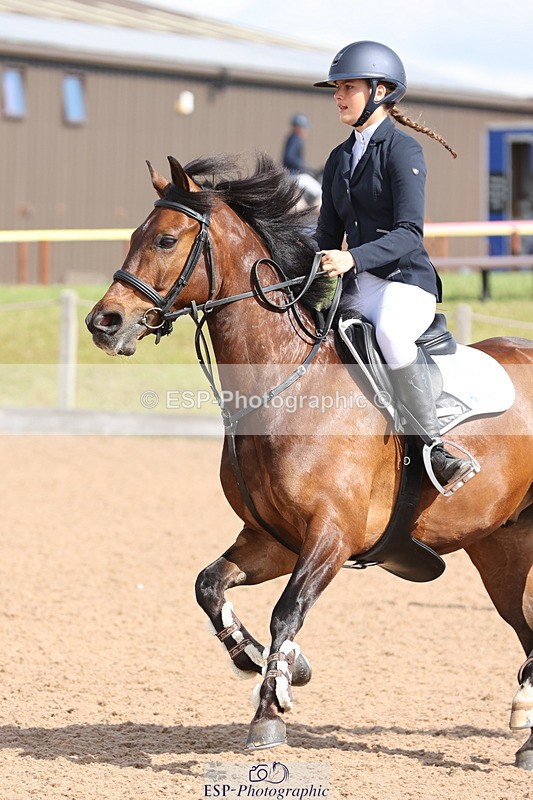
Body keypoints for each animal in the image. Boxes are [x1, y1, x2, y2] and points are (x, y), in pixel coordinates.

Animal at [86, 153, 533, 767]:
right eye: (134, 236)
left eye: (166, 239)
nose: (103, 323)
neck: (283, 385)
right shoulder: (272, 538)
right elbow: (209, 586)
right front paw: (268, 663)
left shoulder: (333, 534)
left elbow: (287, 610)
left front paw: (270, 708)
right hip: (500, 548)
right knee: (525, 622)